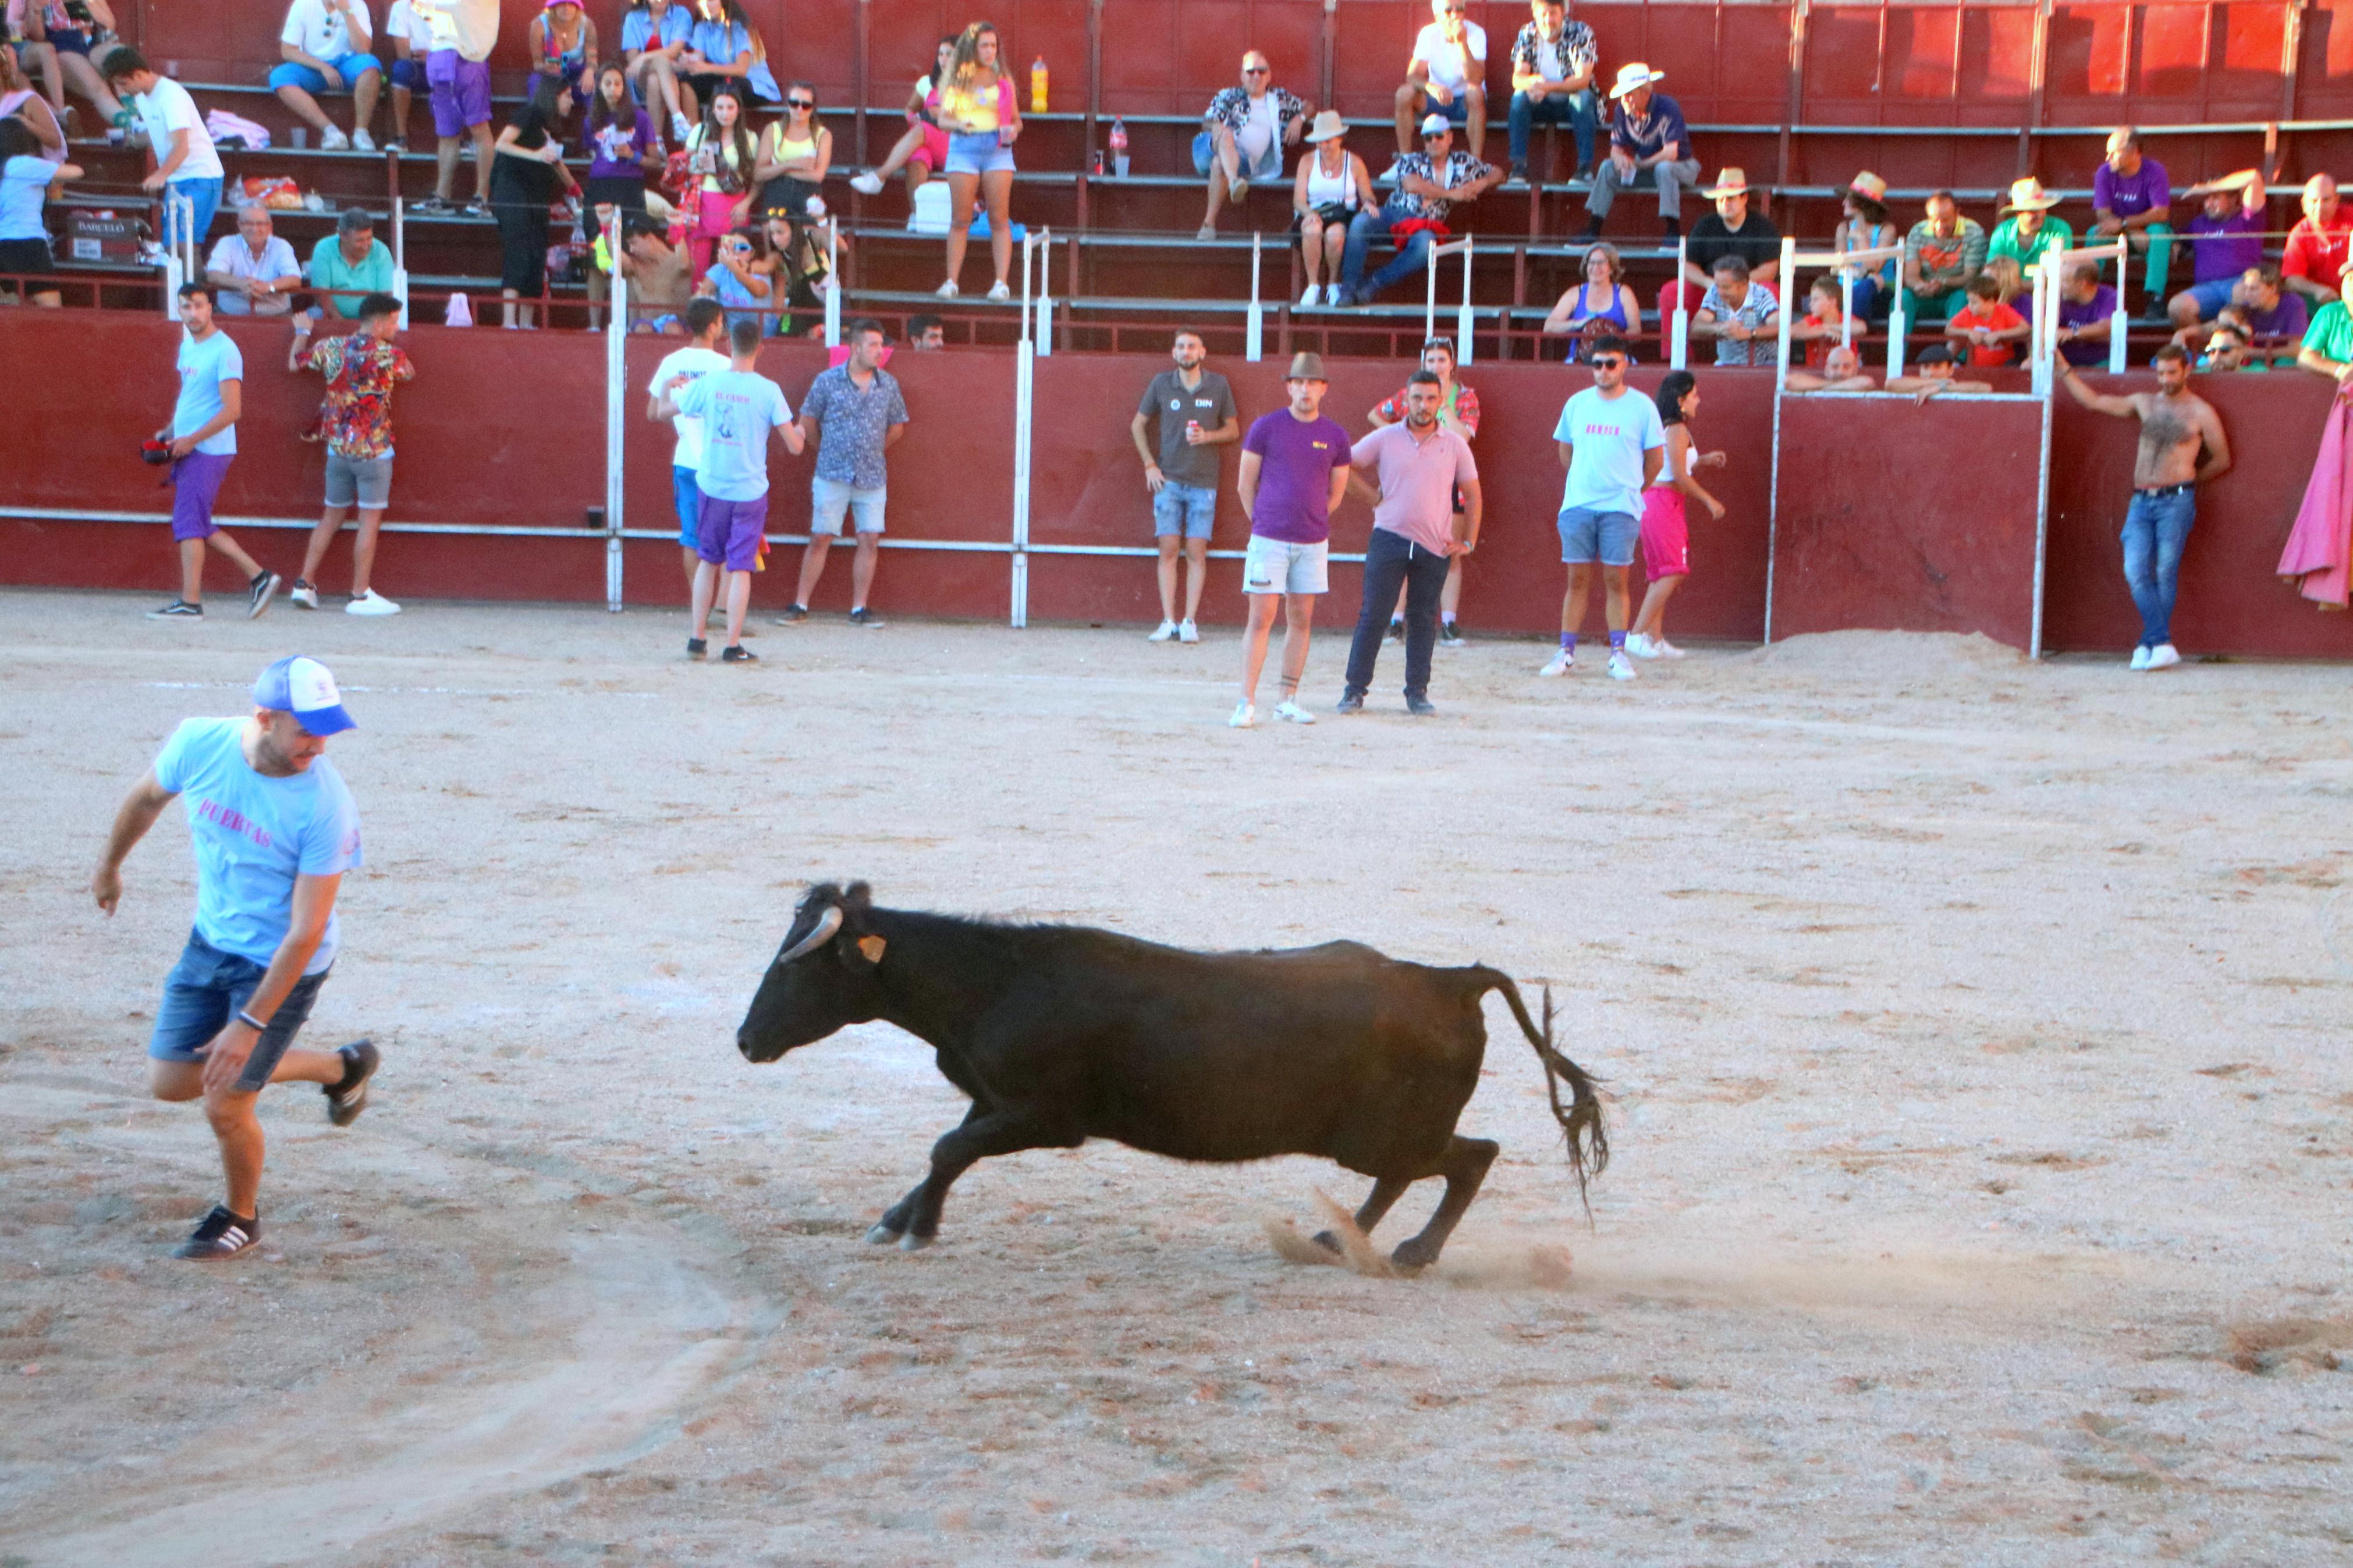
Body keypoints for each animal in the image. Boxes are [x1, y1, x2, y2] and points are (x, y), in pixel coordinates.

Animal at [734, 884, 1609, 1279]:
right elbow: (944, 1149)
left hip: (1383, 1133)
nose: (745, 1039)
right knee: (1413, 1171)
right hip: (1377, 1135)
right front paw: (894, 1219)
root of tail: (1445, 980)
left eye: (796, 968)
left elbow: (947, 1148)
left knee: (1470, 1156)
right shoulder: (994, 1100)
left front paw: (914, 1228)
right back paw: (1333, 1239)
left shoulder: (1045, 1117)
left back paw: (1409, 1252)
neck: (995, 981)